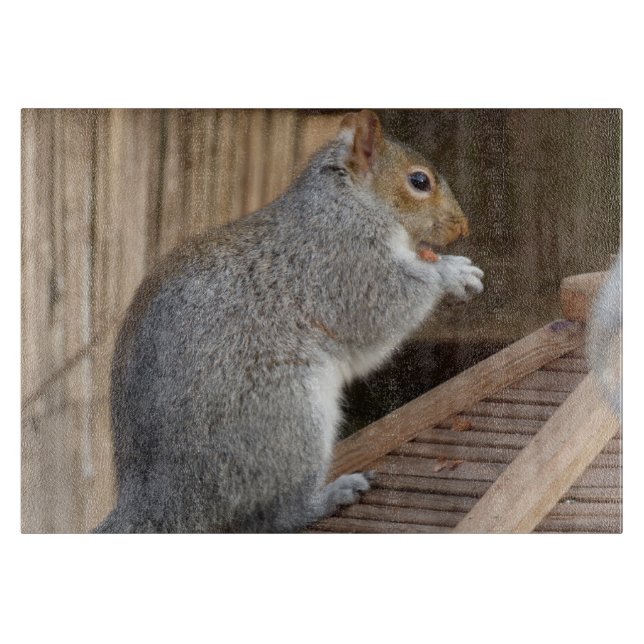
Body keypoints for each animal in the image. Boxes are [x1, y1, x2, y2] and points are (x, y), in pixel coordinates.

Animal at [94, 110, 484, 533]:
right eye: (419, 181)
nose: (463, 226)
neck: (346, 204)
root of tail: (159, 500)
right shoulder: (344, 266)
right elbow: (382, 308)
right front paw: (452, 273)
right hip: (288, 418)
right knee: (278, 513)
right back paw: (329, 496)